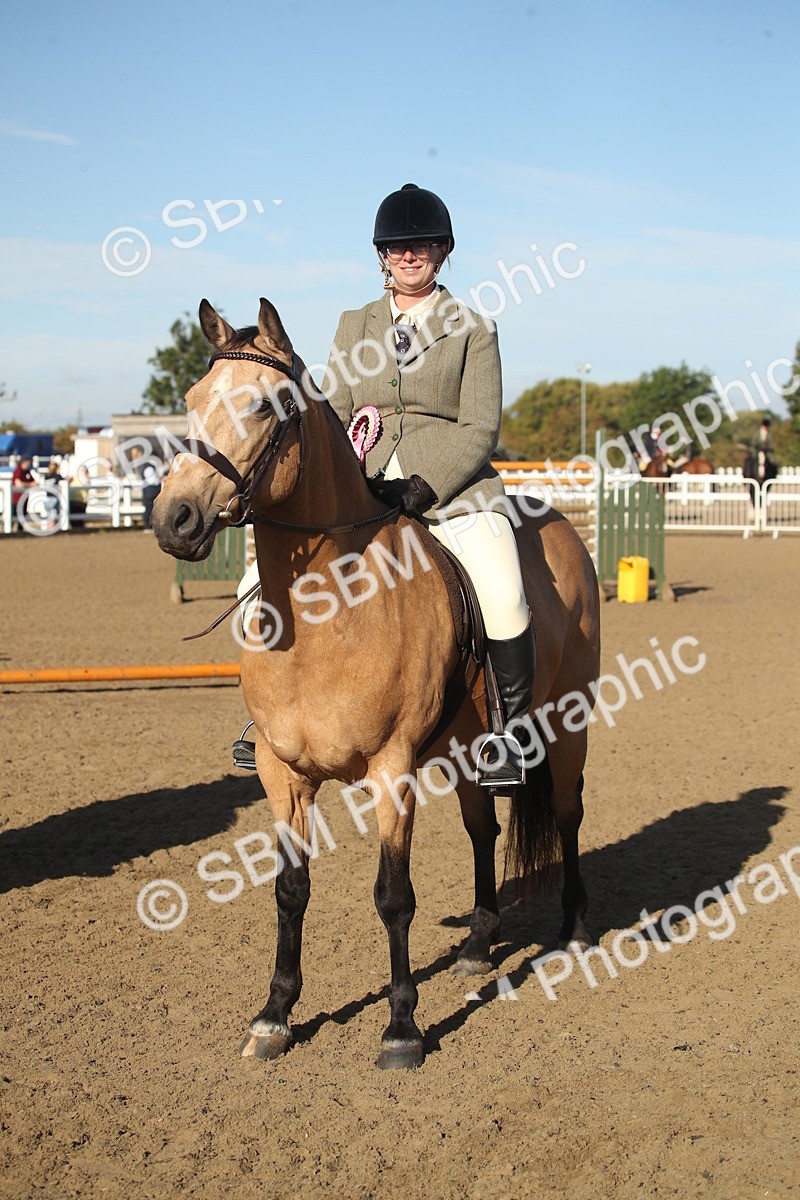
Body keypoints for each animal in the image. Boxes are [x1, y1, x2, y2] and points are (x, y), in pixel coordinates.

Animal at [152, 297, 601, 1070]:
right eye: (190, 400)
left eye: (267, 405)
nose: (174, 519)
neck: (325, 613)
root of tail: (563, 526)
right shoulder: (282, 773)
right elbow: (290, 890)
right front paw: (275, 1015)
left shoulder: (392, 770)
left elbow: (394, 895)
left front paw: (401, 1028)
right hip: (465, 746)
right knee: (482, 826)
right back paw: (479, 943)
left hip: (568, 722)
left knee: (568, 813)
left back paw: (571, 928)